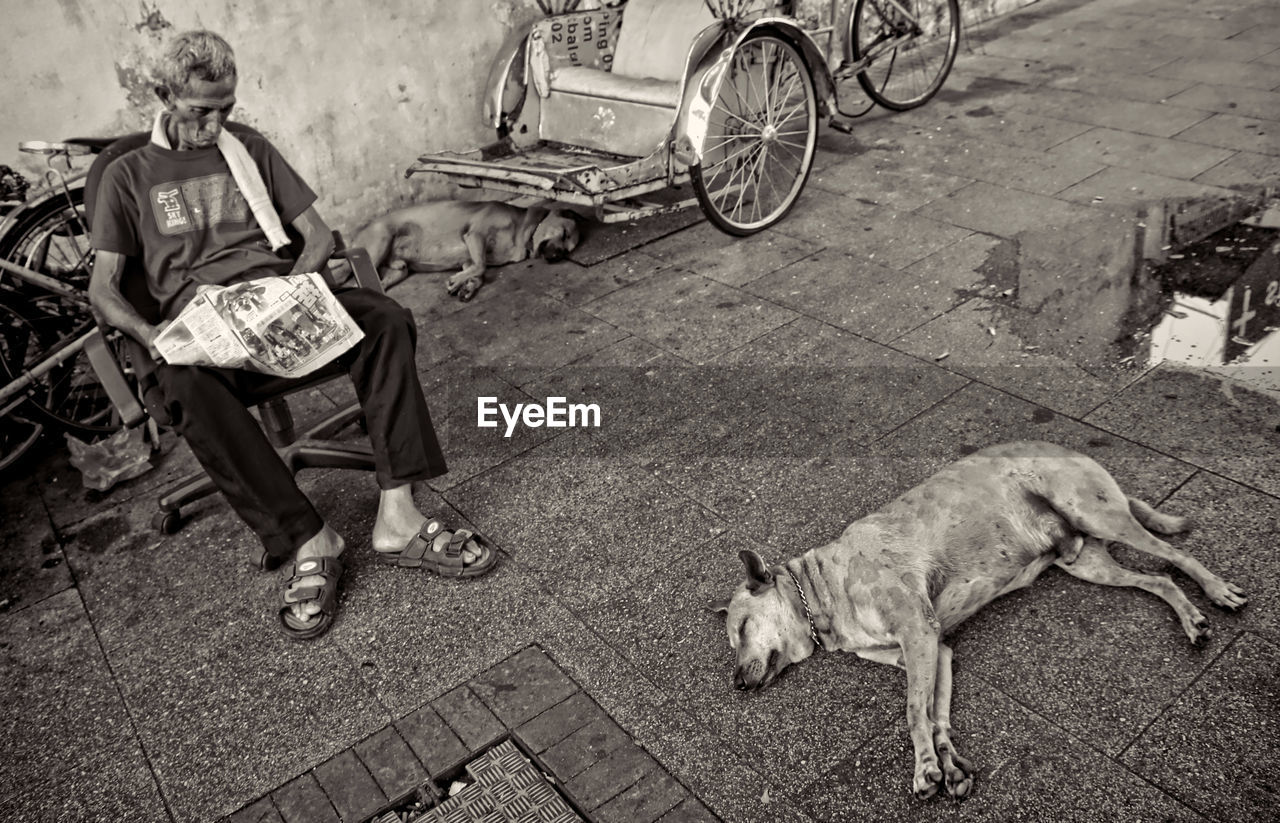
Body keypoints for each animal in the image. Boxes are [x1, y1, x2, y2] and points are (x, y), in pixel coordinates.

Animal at [340, 199, 581, 302]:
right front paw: (457, 281)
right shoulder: (475, 235)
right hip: (379, 243)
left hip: (399, 271)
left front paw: (467, 285)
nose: (558, 256)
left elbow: (478, 271)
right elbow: (481, 266)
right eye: (564, 234)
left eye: (569, 249)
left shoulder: (469, 258)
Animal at [711, 440, 1239, 803]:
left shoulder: (918, 633)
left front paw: (924, 769)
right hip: (1087, 561)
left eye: (742, 630)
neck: (825, 592)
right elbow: (935, 713)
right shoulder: (935, 650)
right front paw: (948, 766)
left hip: (1097, 513)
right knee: (1159, 580)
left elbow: (913, 710)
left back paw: (1216, 590)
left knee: (1173, 554)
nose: (735, 683)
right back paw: (1191, 618)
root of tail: (1067, 447)